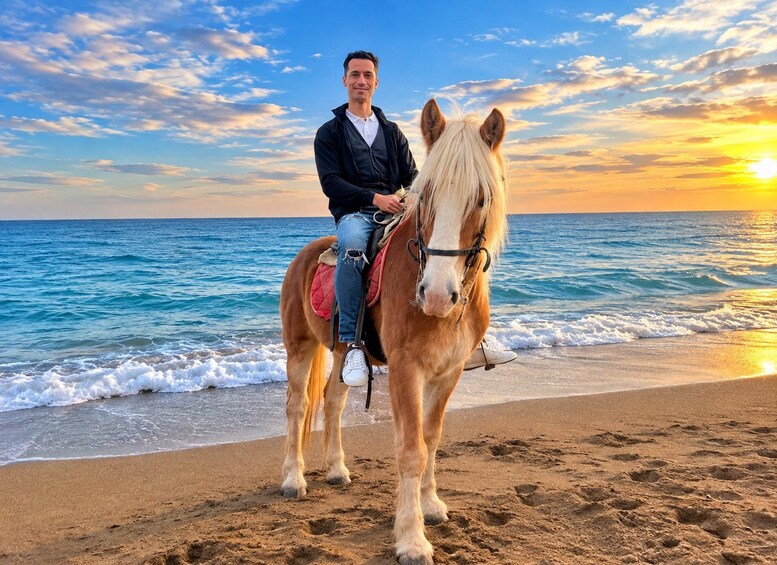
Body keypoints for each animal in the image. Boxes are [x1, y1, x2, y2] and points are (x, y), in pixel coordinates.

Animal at [280, 98, 507, 564]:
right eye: (427, 194)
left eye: (480, 198)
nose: (436, 295)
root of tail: (305, 255)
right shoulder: (406, 368)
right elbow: (411, 449)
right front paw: (411, 538)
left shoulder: (448, 372)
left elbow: (431, 438)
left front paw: (431, 505)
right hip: (299, 348)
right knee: (297, 407)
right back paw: (294, 479)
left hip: (340, 351)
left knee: (332, 400)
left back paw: (336, 469)